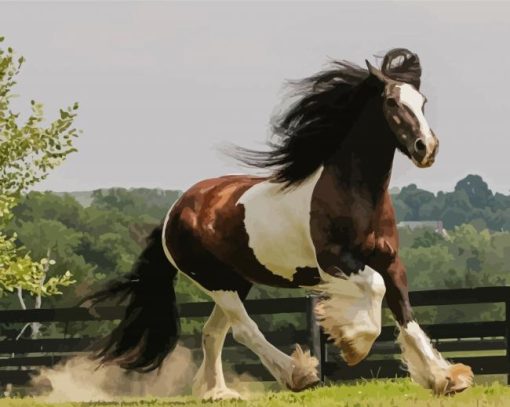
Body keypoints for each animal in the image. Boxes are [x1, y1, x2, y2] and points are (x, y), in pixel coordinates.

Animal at [87, 48, 474, 402]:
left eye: (422, 102)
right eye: (392, 102)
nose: (427, 148)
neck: (354, 193)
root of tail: (174, 212)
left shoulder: (391, 262)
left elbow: (406, 316)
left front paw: (446, 378)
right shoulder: (335, 262)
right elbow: (375, 292)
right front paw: (352, 343)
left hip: (235, 281)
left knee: (214, 332)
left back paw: (218, 392)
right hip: (215, 282)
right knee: (244, 330)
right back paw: (297, 374)